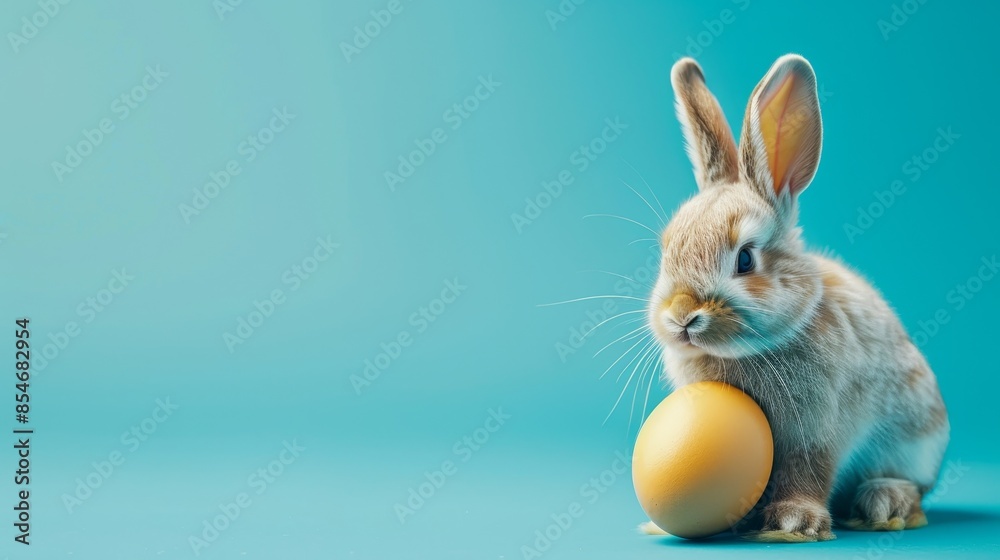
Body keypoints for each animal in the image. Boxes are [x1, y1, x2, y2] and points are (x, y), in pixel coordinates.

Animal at [641, 54, 949, 542]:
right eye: (666, 248)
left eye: (745, 259)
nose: (681, 315)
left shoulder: (816, 429)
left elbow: (808, 469)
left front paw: (793, 523)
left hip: (915, 440)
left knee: (912, 485)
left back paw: (886, 503)